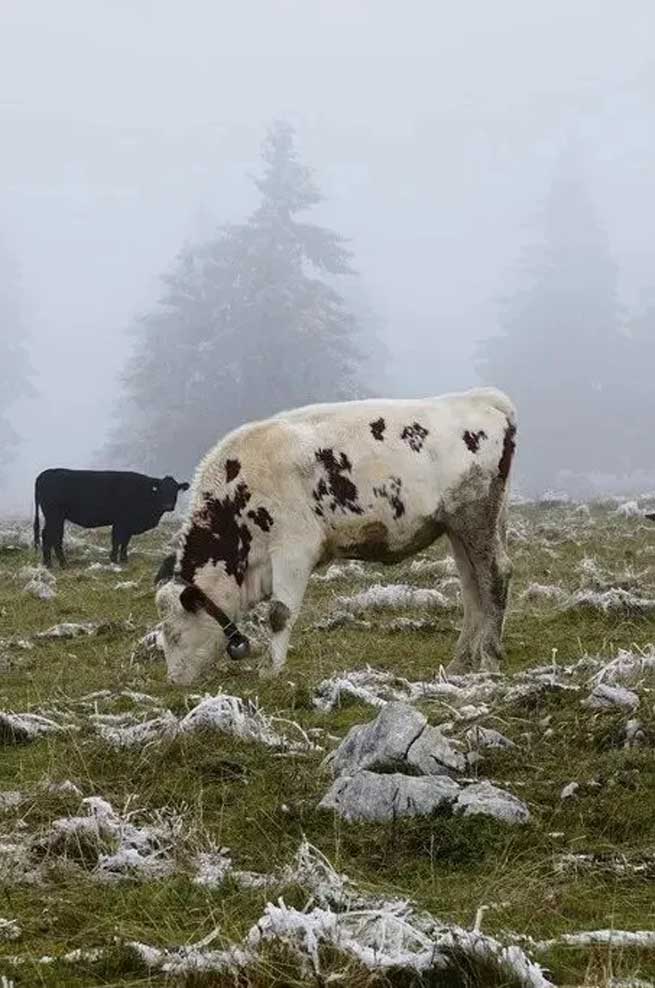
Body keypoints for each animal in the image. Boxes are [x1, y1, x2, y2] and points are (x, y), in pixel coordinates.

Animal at [33, 469, 189, 568]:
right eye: (161, 489)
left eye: (175, 490)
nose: (168, 506)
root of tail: (44, 474)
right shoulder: (121, 521)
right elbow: (116, 540)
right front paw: (114, 559)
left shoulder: (128, 524)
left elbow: (125, 542)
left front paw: (124, 559)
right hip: (54, 515)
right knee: (50, 535)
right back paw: (58, 563)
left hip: (55, 517)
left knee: (51, 536)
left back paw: (50, 563)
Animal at [156, 387, 517, 686]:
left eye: (173, 633)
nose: (174, 680)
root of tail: (481, 398)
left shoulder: (293, 548)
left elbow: (279, 613)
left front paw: (270, 669)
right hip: (457, 527)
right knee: (472, 586)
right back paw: (461, 662)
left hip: (476, 517)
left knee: (495, 574)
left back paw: (489, 659)